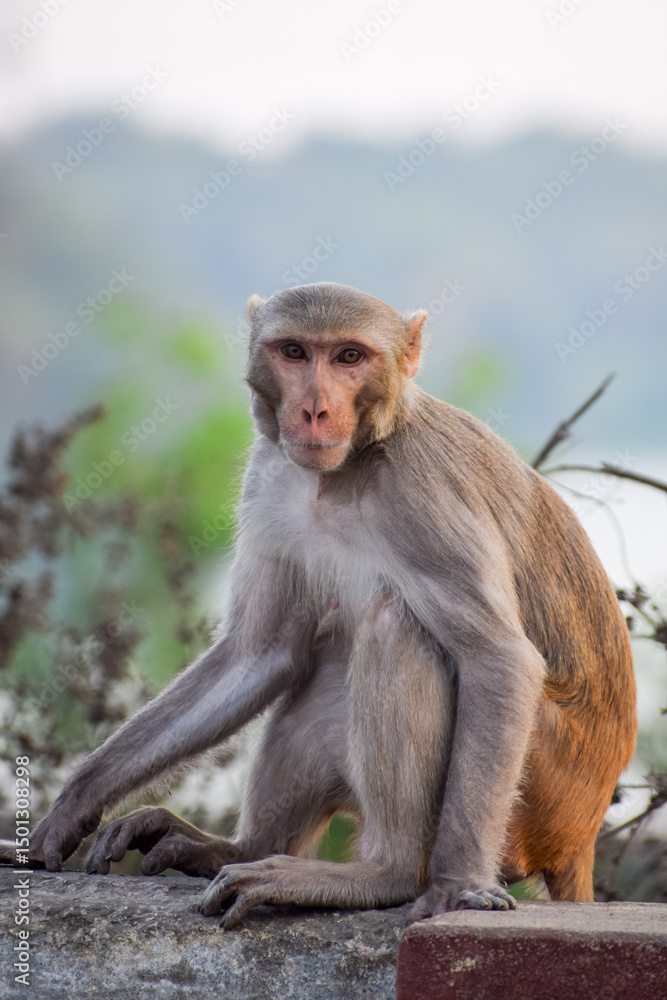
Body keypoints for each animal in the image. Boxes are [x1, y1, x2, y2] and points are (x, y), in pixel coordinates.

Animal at [0, 282, 636, 929]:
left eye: (349, 357)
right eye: (295, 352)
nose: (314, 410)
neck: (343, 471)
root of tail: (580, 834)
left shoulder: (422, 494)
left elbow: (501, 661)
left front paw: (458, 886)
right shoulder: (270, 476)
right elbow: (261, 653)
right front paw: (71, 808)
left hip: (538, 793)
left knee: (393, 622)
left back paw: (387, 874)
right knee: (329, 655)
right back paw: (234, 849)